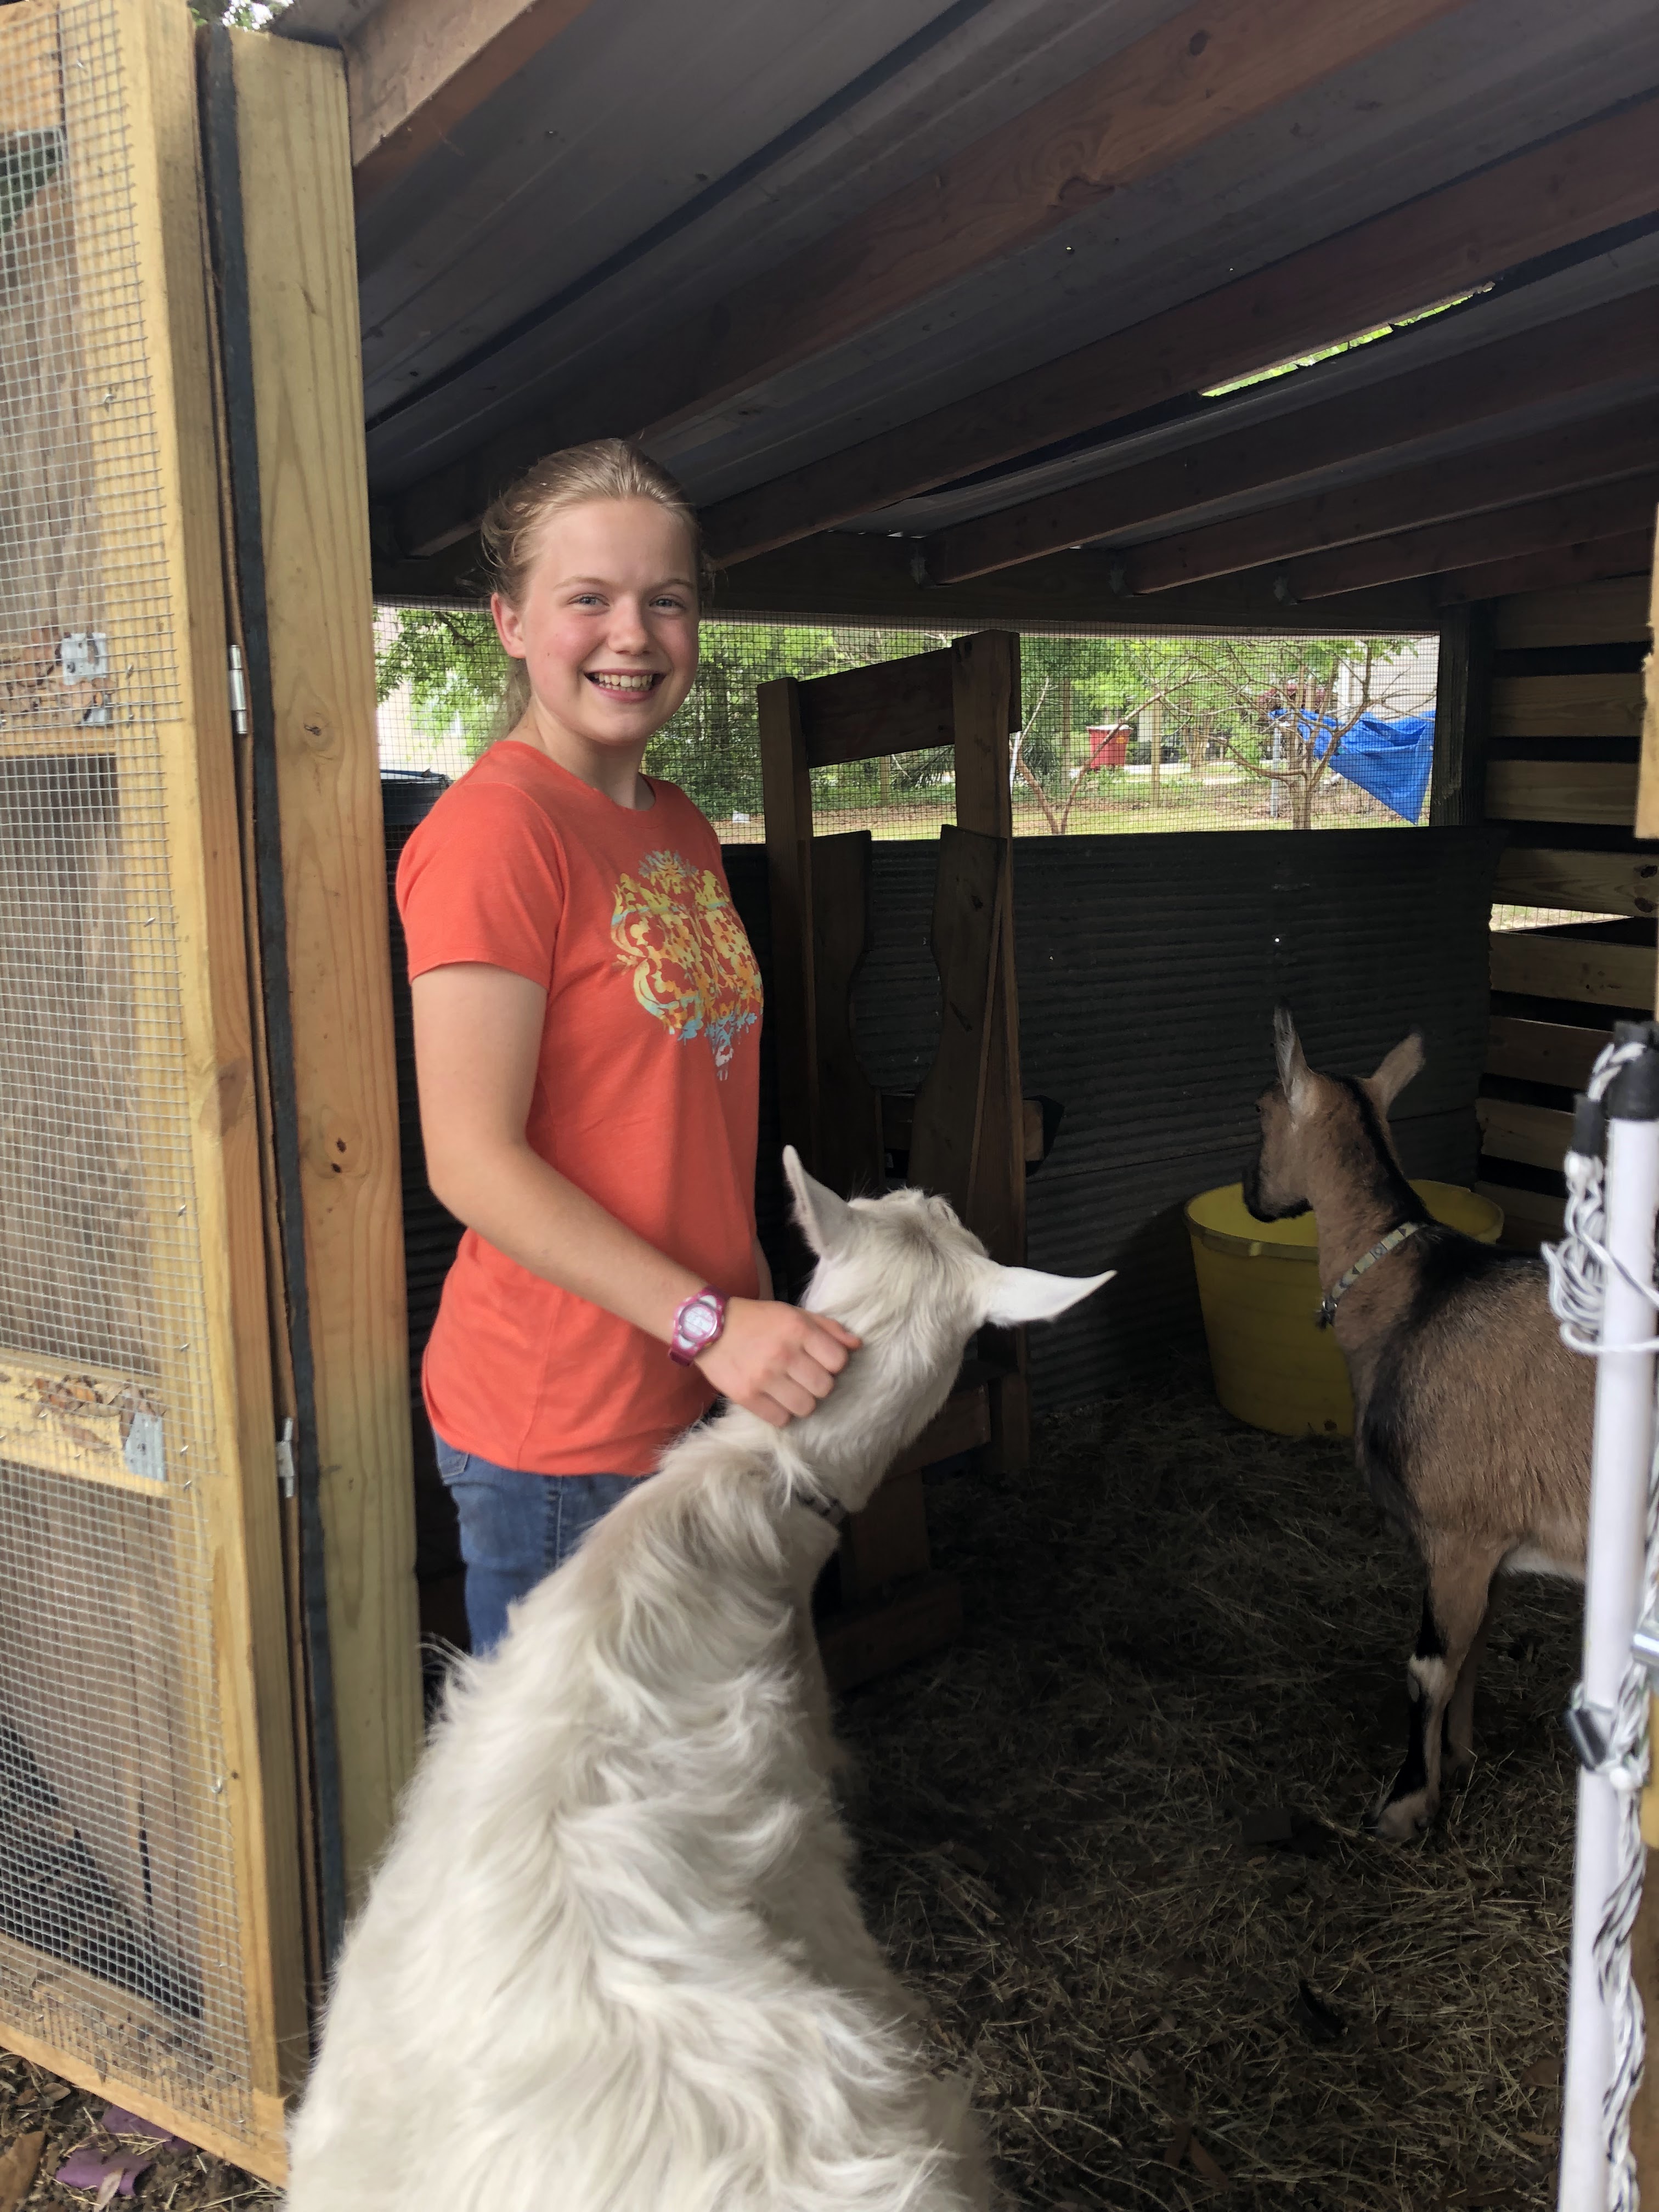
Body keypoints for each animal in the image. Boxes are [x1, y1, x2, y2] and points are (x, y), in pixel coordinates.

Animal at [1243, 1008, 1591, 1840]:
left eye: (1260, 1111)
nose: (1250, 1195)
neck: (1409, 1295)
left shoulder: (1458, 1528)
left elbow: (1426, 1668)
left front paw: (1403, 1803)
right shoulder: (1488, 1545)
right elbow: (1471, 1652)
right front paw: (1456, 1760)